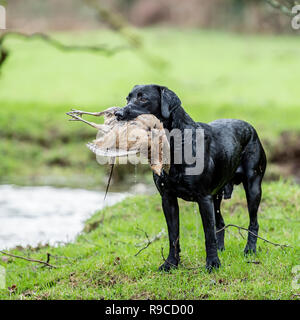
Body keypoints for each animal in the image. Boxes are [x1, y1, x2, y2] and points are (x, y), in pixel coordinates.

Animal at [115, 84, 268, 272]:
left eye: (143, 98)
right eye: (127, 99)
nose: (118, 114)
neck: (175, 145)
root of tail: (251, 127)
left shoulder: (203, 198)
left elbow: (208, 234)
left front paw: (213, 264)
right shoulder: (168, 199)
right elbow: (173, 236)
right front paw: (170, 264)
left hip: (253, 188)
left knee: (253, 222)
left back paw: (250, 250)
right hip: (217, 196)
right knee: (220, 223)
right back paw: (221, 249)